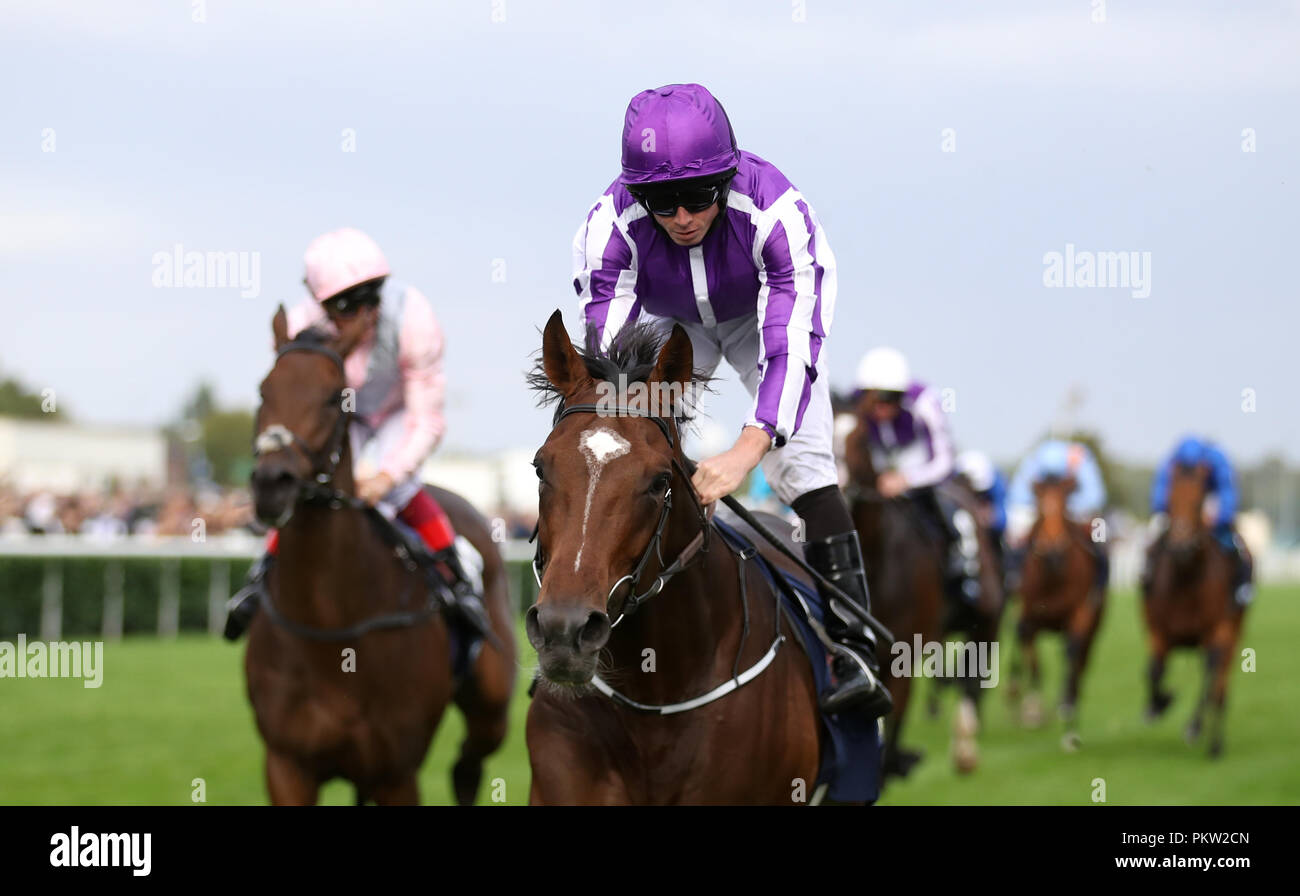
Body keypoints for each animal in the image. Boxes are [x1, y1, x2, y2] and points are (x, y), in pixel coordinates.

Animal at [244, 305, 517, 806]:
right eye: (263, 390)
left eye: (335, 397)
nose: (273, 483)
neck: (329, 627)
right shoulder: (286, 764)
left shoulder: (396, 772)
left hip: (490, 706)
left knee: (469, 762)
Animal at [832, 390, 1003, 775]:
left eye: (860, 439)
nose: (838, 481)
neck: (876, 563)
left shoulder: (903, 656)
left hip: (987, 616)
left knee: (973, 680)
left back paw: (965, 748)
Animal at [1008, 470, 1102, 749]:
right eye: (1039, 503)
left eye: (1064, 504)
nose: (1052, 547)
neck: (1052, 574)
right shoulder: (1028, 616)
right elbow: (1033, 661)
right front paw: (1032, 711)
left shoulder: (1080, 613)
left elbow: (1072, 653)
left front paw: (1070, 721)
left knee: (1080, 661)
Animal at [1144, 460, 1242, 754]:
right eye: (1170, 500)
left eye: (1199, 502)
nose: (1181, 547)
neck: (1186, 579)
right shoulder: (1158, 630)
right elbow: (1154, 670)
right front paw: (1159, 703)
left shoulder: (1216, 631)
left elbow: (1211, 676)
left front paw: (1194, 727)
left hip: (1234, 631)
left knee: (1219, 685)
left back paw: (1215, 742)